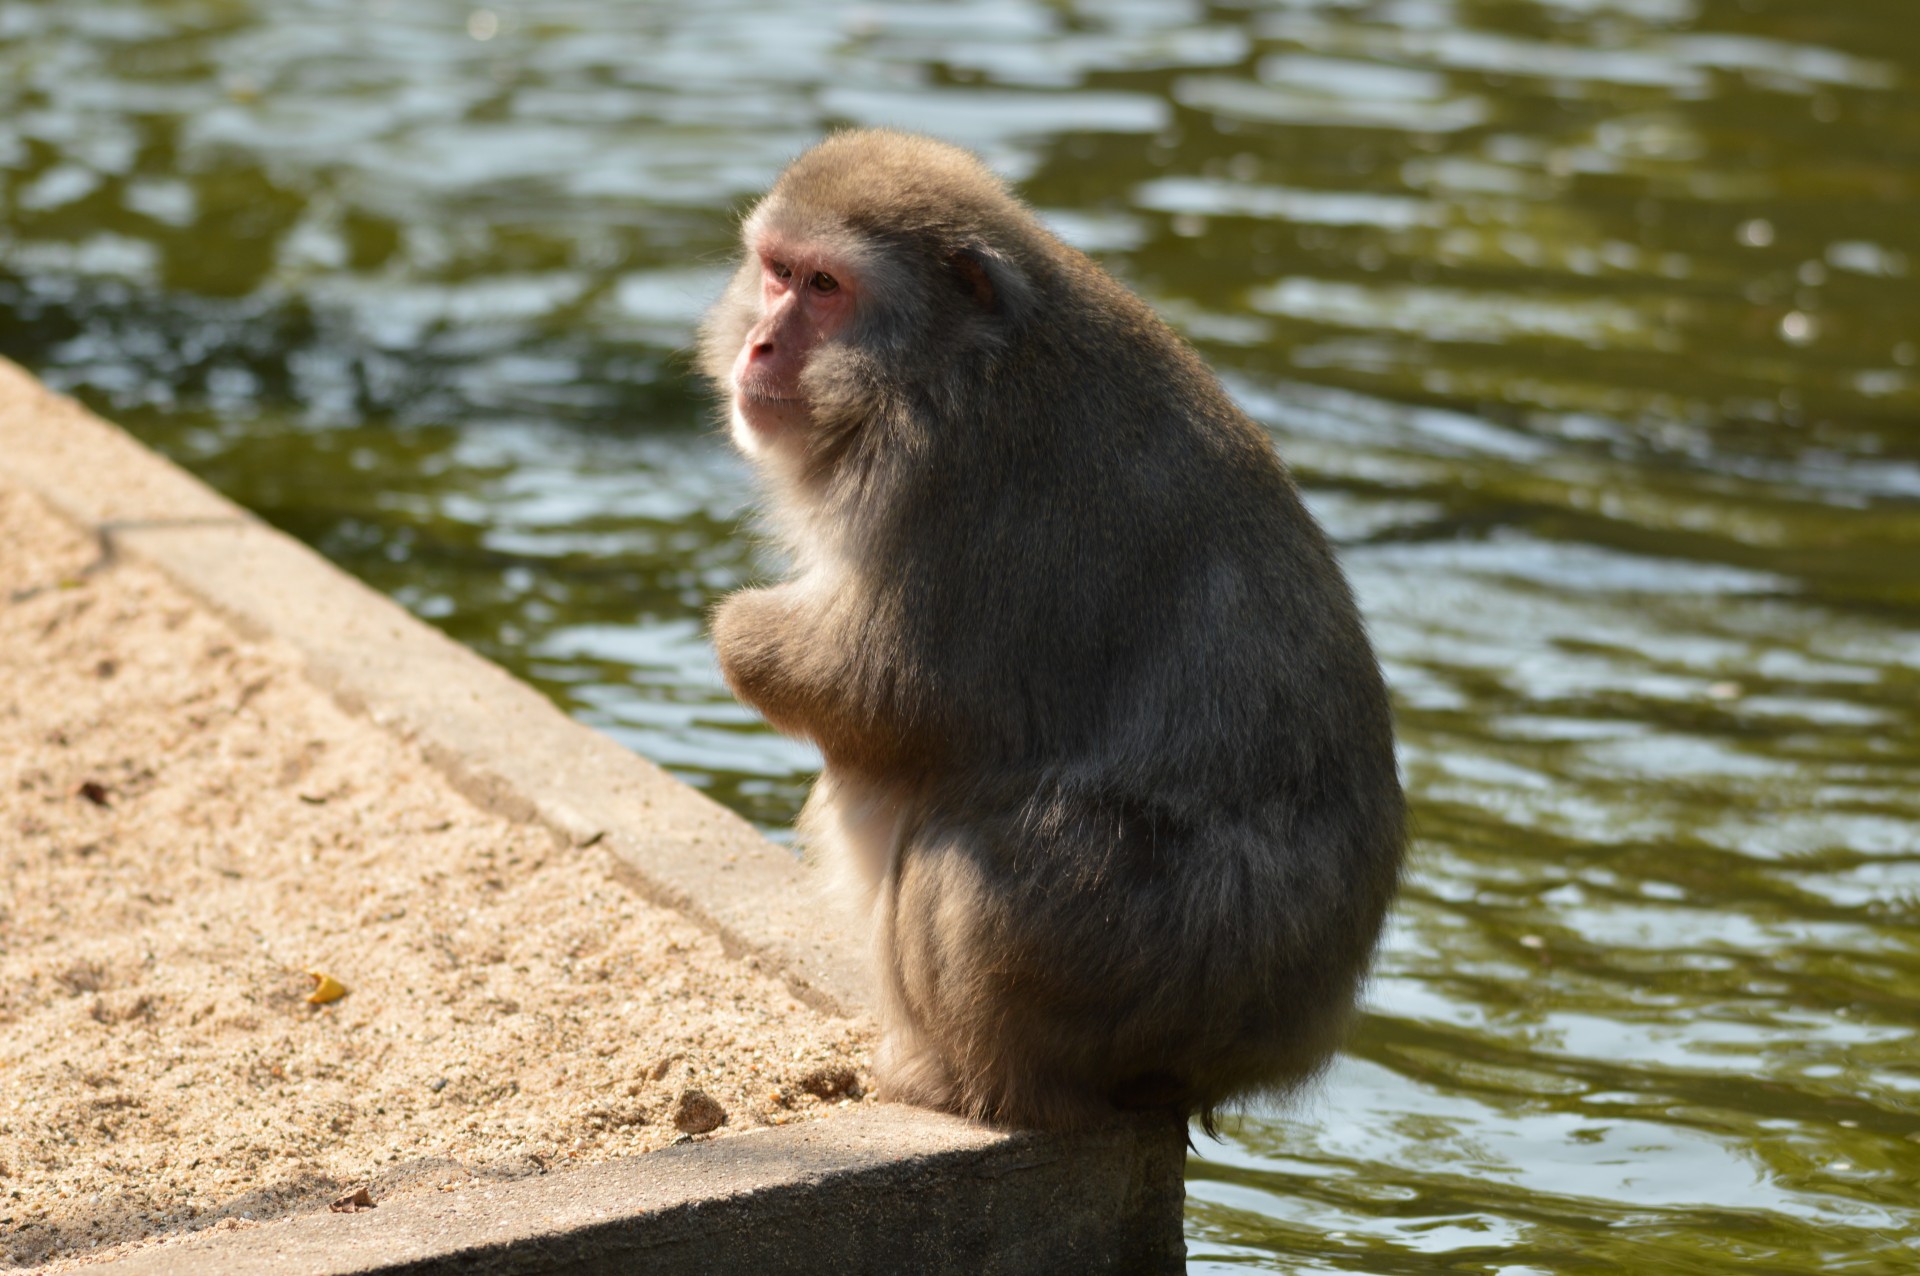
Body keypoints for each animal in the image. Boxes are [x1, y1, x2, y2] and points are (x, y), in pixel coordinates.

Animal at [698, 126, 1405, 1128]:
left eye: (825, 287)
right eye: (775, 273)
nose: (760, 344)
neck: (949, 362)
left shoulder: (948, 473)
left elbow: (892, 695)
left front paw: (740, 631)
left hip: (1151, 955)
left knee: (959, 847)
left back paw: (963, 1083)